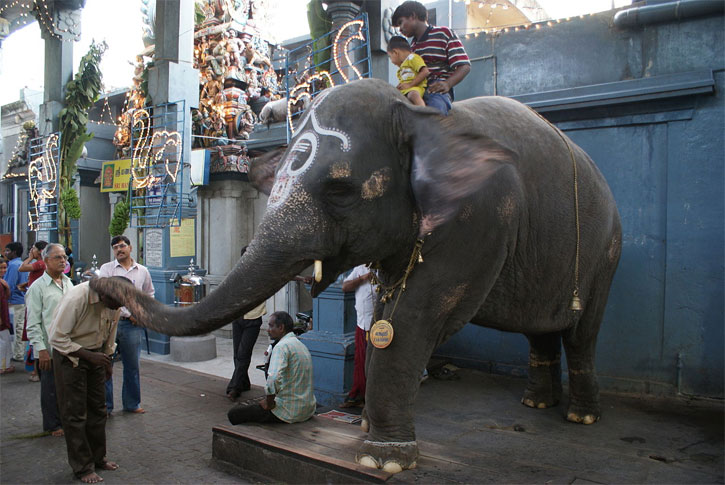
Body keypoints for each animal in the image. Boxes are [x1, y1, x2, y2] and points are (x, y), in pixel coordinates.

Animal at [92, 78, 624, 472]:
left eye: (341, 190)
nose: (101, 283)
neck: (416, 117)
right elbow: (390, 310)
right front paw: (369, 429)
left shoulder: (480, 218)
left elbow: (413, 320)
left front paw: (382, 458)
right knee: (542, 331)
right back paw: (536, 405)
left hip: (606, 251)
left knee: (582, 332)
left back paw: (581, 415)